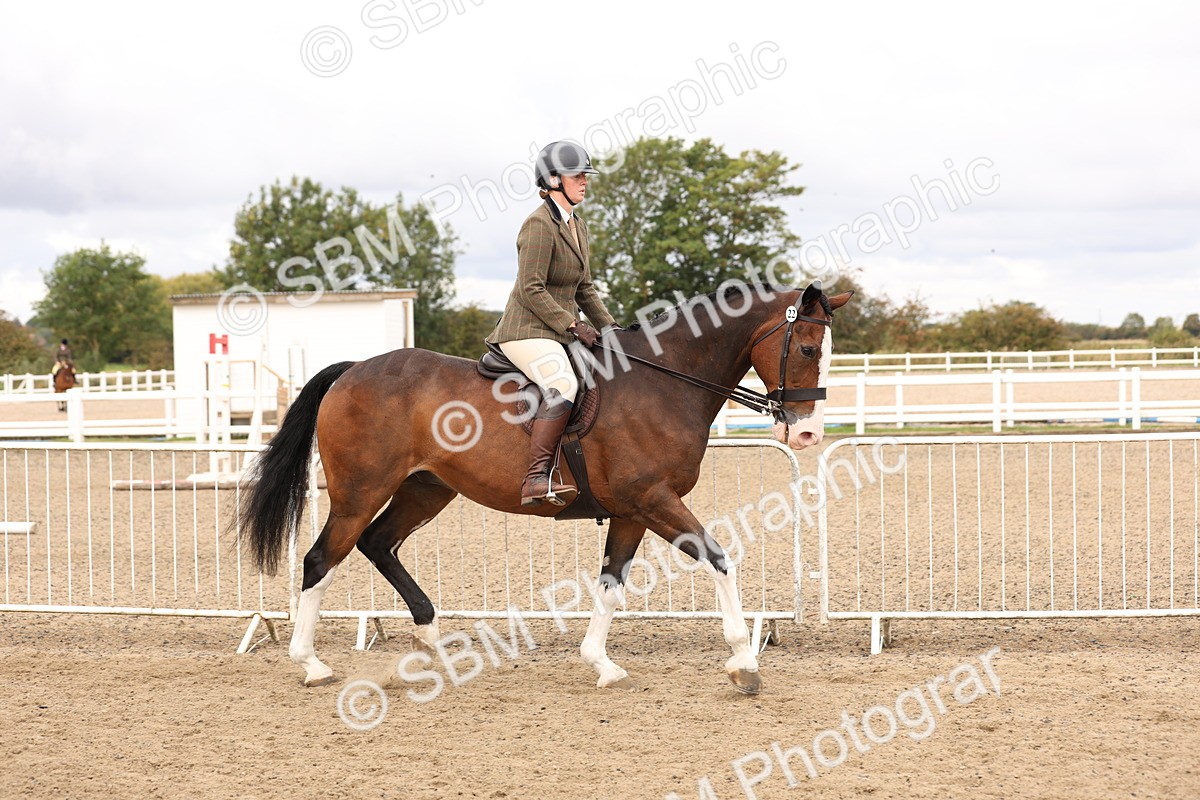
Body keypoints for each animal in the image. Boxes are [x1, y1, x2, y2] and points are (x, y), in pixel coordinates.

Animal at [240, 282, 852, 693]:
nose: (808, 434)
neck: (663, 382)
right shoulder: (654, 500)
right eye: (806, 349)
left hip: (426, 489)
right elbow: (720, 560)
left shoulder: (632, 511)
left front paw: (602, 665)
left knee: (378, 544)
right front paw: (744, 664)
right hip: (359, 491)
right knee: (321, 559)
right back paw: (312, 664)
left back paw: (430, 640)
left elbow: (610, 586)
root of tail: (353, 369)